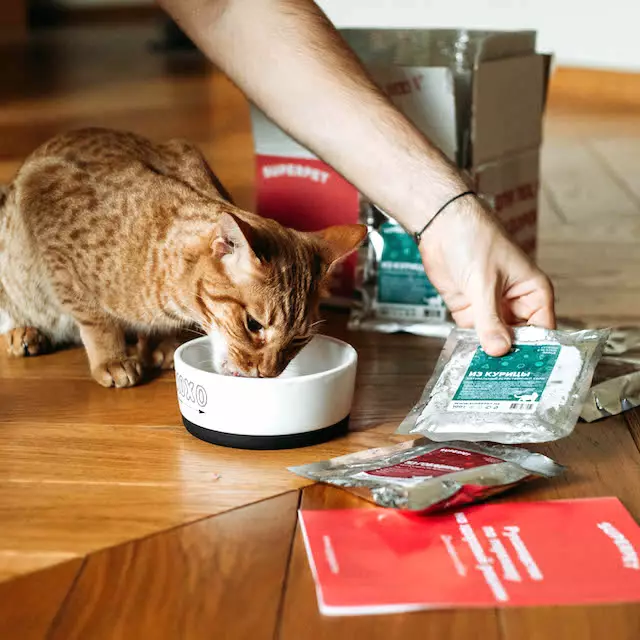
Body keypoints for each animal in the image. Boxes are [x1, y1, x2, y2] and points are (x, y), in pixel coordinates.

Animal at [0, 125, 364, 384]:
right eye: (253, 324)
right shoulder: (45, 200)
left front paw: (161, 343)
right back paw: (23, 332)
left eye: (299, 338)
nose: (267, 374)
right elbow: (94, 318)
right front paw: (111, 357)